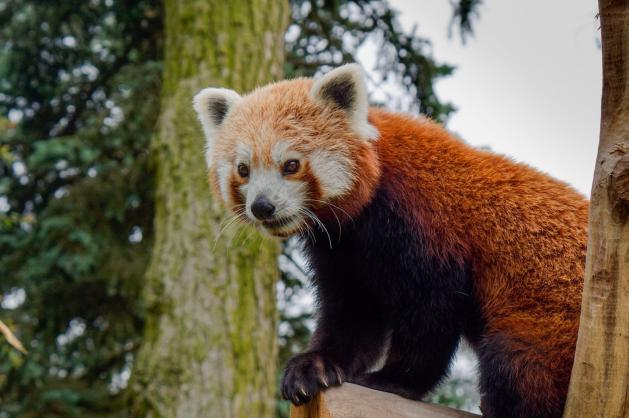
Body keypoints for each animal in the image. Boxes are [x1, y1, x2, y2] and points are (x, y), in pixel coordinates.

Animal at [193, 63, 588, 416]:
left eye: (291, 165)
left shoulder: (422, 223)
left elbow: (431, 312)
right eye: (243, 170)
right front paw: (314, 366)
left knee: (517, 366)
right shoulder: (342, 250)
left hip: (549, 323)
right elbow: (353, 313)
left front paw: (393, 379)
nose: (262, 206)